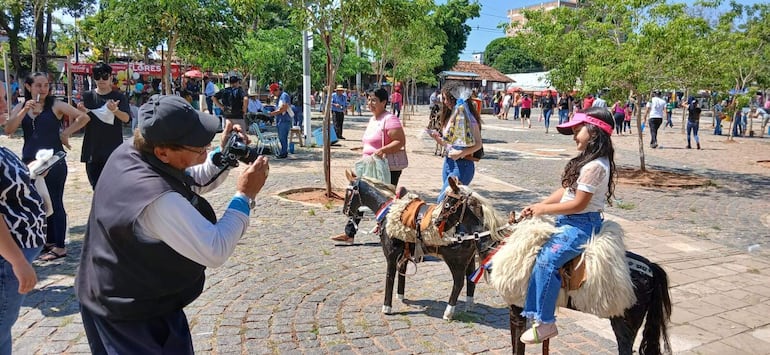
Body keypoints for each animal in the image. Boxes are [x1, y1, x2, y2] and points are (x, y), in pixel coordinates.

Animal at [340, 171, 508, 322]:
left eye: (348, 192)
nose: (345, 210)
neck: (388, 212)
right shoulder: (404, 255)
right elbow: (402, 274)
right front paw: (400, 296)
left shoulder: (391, 255)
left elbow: (390, 277)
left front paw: (387, 307)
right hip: (469, 259)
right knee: (470, 279)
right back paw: (469, 305)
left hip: (456, 261)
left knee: (459, 282)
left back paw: (448, 313)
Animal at [436, 181, 668, 355]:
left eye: (448, 203)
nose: (437, 221)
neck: (499, 244)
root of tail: (651, 268)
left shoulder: (516, 308)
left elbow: (517, 346)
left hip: (624, 322)